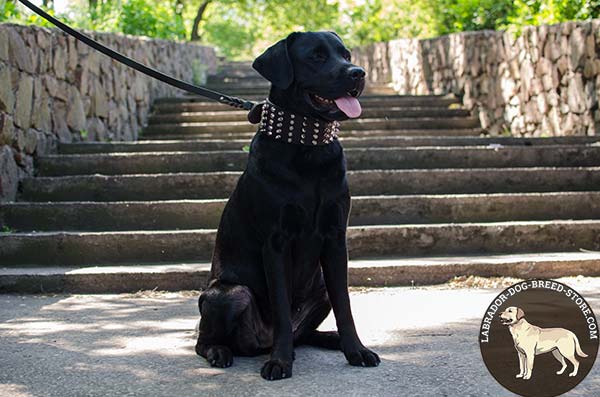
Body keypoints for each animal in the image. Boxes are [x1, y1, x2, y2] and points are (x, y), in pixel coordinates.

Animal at [195, 30, 380, 378]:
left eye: (346, 54)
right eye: (316, 56)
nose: (358, 73)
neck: (307, 145)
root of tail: (260, 342)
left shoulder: (336, 237)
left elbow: (345, 304)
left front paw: (356, 350)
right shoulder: (276, 242)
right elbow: (281, 306)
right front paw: (280, 361)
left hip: (319, 288)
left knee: (304, 333)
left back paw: (330, 339)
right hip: (229, 294)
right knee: (203, 340)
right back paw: (222, 352)